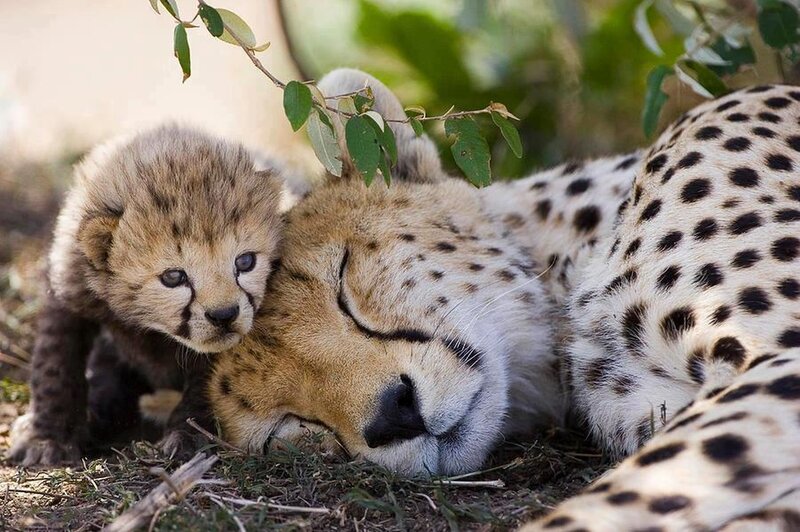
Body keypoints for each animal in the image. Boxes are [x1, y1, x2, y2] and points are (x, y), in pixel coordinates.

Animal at [8, 124, 290, 466]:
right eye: (173, 277)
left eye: (245, 261)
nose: (224, 315)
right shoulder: (69, 289)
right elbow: (54, 365)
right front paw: (47, 436)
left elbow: (207, 383)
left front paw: (188, 436)